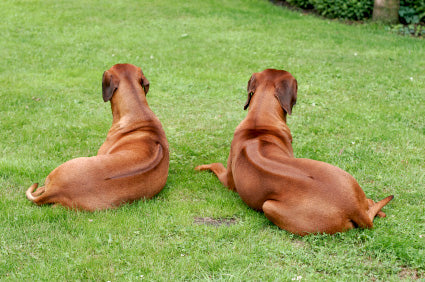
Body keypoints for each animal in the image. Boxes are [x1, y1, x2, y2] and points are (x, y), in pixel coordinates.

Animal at [195, 69, 390, 236]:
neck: (258, 123)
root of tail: (354, 208)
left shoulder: (228, 180)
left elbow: (216, 165)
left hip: (268, 206)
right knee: (371, 203)